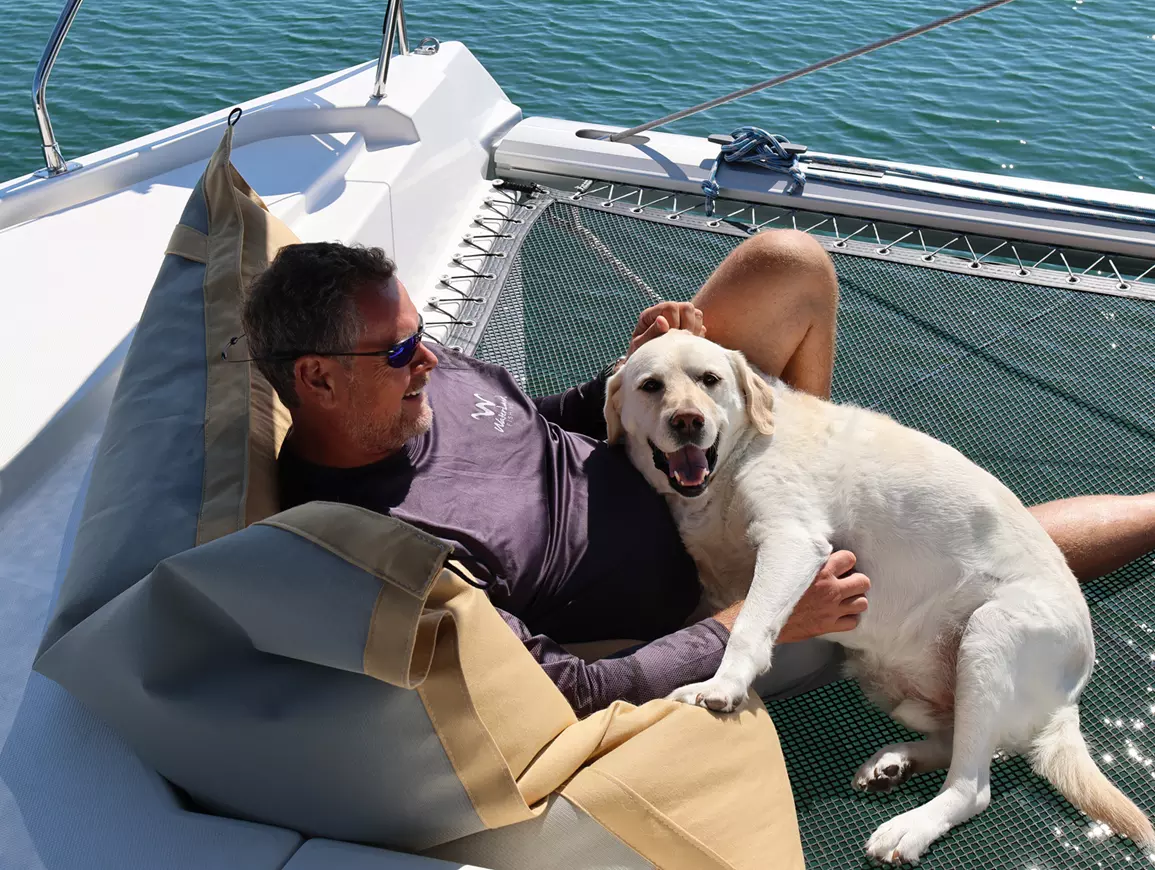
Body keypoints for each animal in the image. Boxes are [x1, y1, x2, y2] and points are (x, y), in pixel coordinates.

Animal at [605, 330, 1155, 864]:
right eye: (651, 385)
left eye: (710, 379)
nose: (688, 421)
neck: (731, 465)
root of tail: (1071, 697)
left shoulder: (792, 539)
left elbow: (746, 628)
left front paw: (721, 685)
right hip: (898, 683)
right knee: (965, 741)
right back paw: (896, 763)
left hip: (989, 634)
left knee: (973, 786)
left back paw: (910, 826)